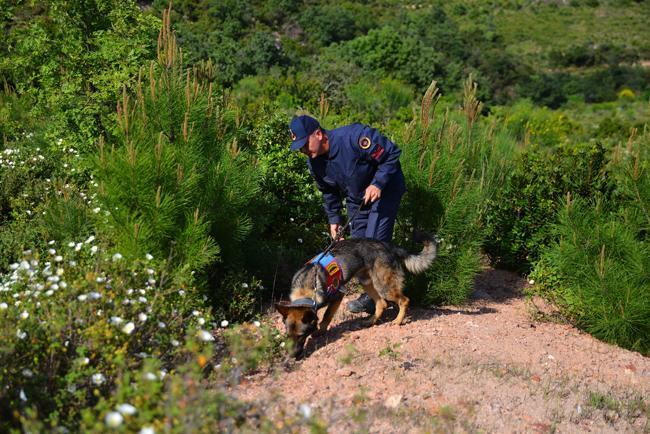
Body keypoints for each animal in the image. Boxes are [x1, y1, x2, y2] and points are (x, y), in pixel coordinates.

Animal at [276, 232, 438, 358]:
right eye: (288, 335)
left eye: (301, 336)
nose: (292, 356)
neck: (306, 288)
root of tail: (388, 246)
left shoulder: (338, 296)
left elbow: (326, 316)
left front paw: (320, 331)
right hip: (367, 282)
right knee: (382, 303)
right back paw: (370, 321)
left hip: (383, 286)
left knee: (404, 300)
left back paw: (397, 321)